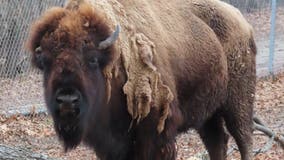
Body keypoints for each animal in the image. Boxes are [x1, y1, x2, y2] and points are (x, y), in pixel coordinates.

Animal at [27, 0, 258, 160]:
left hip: (238, 103)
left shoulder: (156, 134)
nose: (67, 100)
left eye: (92, 59)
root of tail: (243, 22)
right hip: (208, 113)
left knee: (244, 138)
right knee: (217, 141)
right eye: (45, 61)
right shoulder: (110, 144)